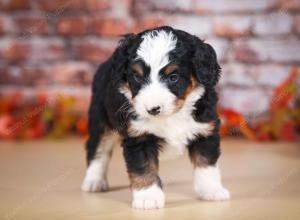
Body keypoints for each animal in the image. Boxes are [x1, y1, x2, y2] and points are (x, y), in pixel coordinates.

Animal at [81, 26, 230, 210]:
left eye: (173, 77)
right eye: (137, 76)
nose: (152, 109)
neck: (173, 115)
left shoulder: (205, 130)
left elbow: (206, 164)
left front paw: (212, 190)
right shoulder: (139, 138)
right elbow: (144, 167)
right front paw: (148, 197)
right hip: (100, 121)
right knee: (97, 150)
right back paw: (94, 181)